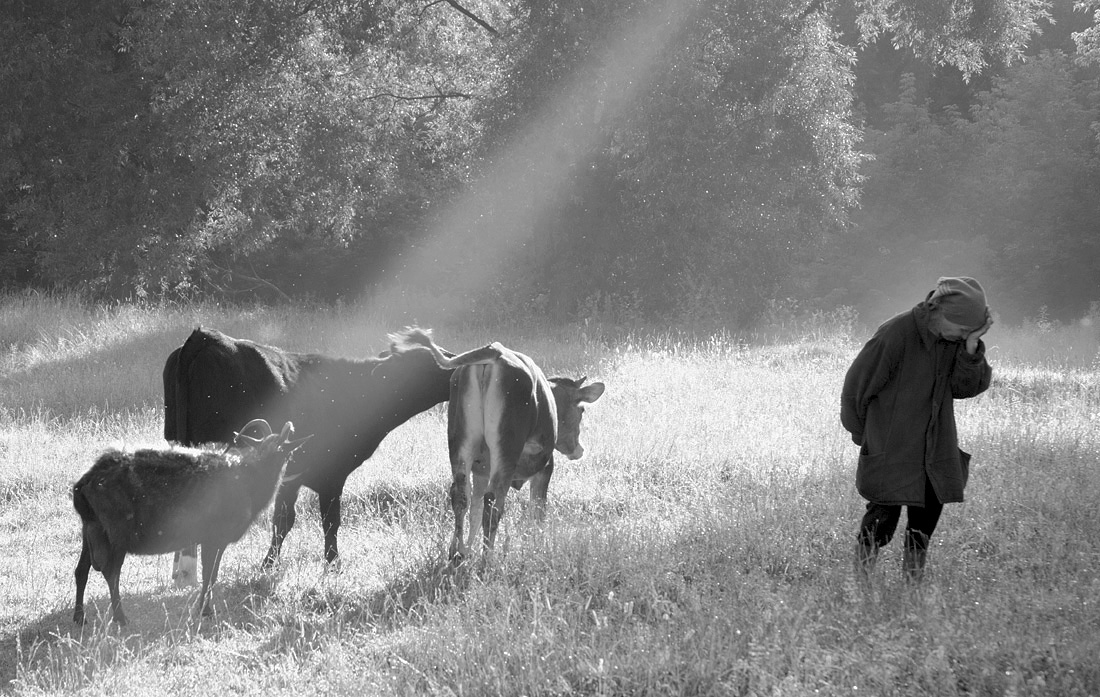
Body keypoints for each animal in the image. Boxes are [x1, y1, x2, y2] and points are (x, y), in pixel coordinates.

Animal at [73, 417, 308, 624]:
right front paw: (202, 610)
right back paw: (120, 618)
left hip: (90, 528)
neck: (250, 478)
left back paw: (79, 618)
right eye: (283, 451)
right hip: (118, 534)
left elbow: (213, 575)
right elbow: (208, 575)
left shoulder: (217, 540)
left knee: (81, 571)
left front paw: (206, 609)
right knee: (111, 572)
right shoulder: (213, 537)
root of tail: (84, 483)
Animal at [161, 325, 451, 576]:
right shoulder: (331, 474)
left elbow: (283, 520)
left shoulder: (290, 474)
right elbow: (328, 521)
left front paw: (268, 565)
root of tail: (205, 335)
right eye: (427, 365)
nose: (455, 365)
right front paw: (332, 566)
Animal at [398, 325, 607, 558]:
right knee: (493, 502)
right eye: (582, 410)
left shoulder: (481, 471)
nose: (579, 450)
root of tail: (495, 351)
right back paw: (487, 558)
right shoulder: (545, 467)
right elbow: (537, 511)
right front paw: (537, 548)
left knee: (461, 496)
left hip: (460, 444)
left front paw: (468, 549)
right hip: (506, 448)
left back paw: (457, 553)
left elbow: (475, 511)